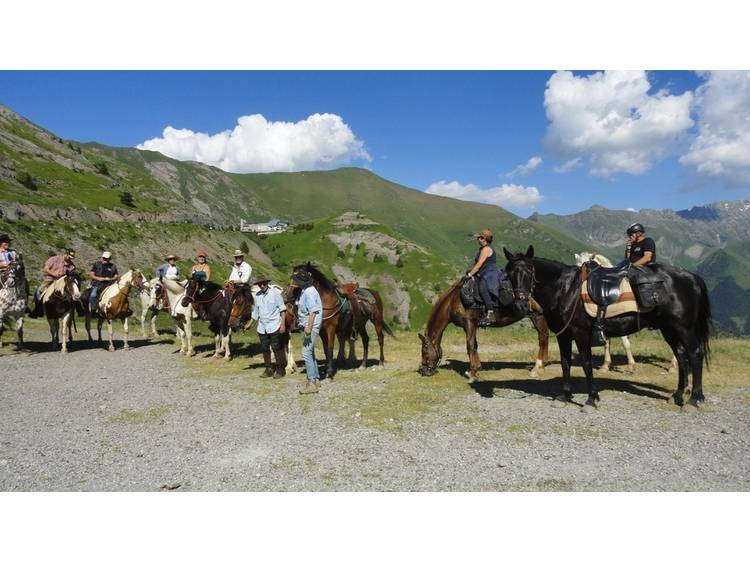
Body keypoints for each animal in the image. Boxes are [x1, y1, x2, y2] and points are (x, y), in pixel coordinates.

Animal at [418, 278, 552, 380]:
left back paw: (537, 368)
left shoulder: (469, 323)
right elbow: (475, 345)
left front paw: (472, 372)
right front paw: (477, 368)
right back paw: (541, 366)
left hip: (537, 315)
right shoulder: (473, 326)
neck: (453, 301)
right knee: (544, 337)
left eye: (424, 350)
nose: (424, 371)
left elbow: (470, 346)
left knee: (543, 339)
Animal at [506, 243, 712, 410]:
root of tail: (692, 277)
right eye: (509, 274)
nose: (521, 304)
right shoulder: (563, 335)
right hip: (669, 329)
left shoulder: (581, 333)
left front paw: (591, 399)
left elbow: (586, 363)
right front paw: (564, 396)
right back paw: (677, 395)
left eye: (529, 272)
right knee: (682, 356)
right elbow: (566, 363)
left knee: (695, 354)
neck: (567, 290)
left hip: (683, 327)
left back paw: (694, 400)